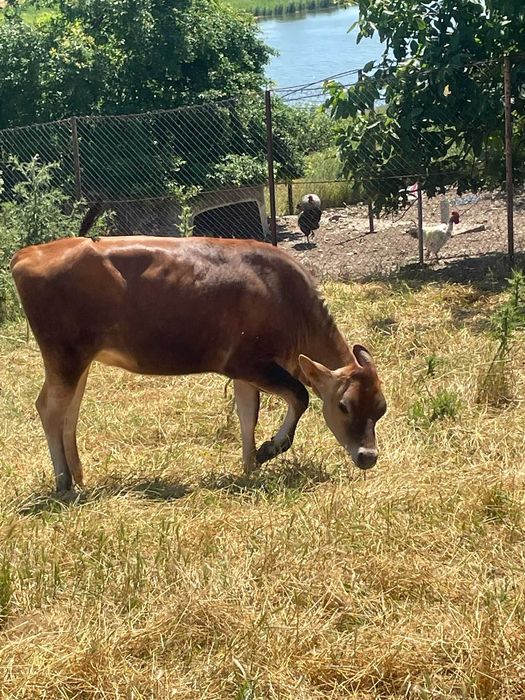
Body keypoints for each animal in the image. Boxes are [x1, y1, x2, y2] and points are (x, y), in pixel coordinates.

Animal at [11, 209, 387, 492]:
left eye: (381, 409)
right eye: (343, 405)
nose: (368, 456)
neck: (284, 296)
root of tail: (28, 253)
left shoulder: (246, 371)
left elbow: (247, 414)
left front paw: (250, 465)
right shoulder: (248, 363)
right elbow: (299, 396)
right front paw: (269, 450)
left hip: (79, 359)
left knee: (69, 411)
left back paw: (78, 475)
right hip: (64, 355)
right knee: (49, 408)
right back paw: (63, 483)